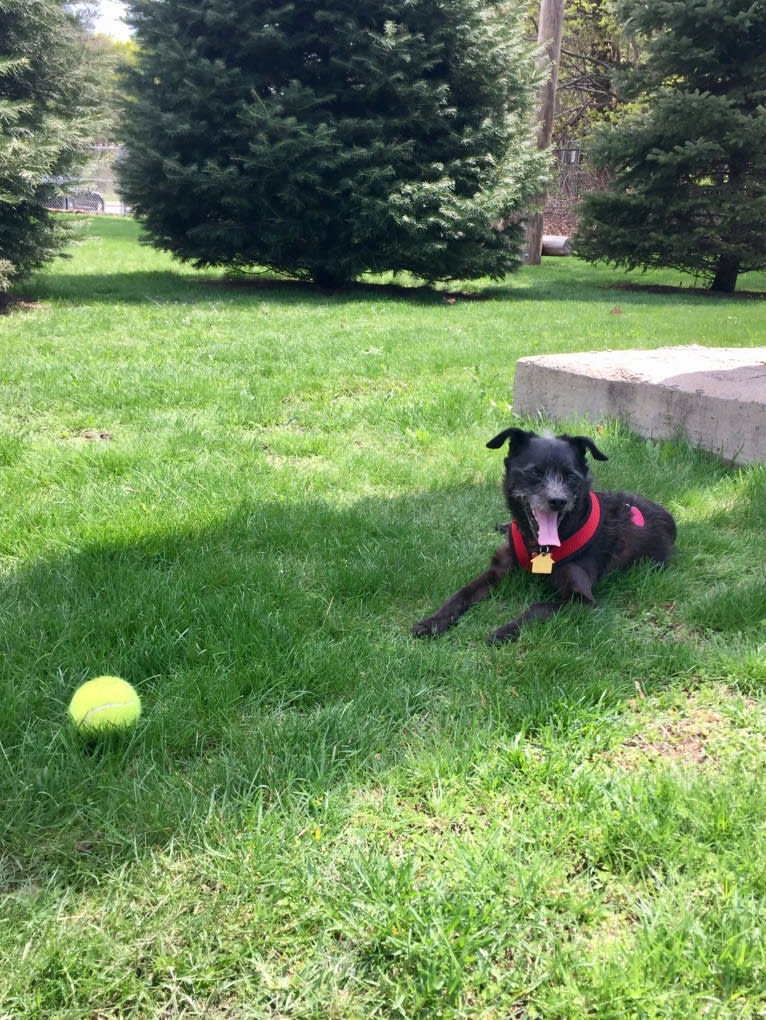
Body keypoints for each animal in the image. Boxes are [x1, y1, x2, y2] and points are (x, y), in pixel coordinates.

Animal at [414, 426, 677, 640]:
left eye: (571, 476)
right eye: (535, 472)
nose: (558, 501)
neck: (539, 546)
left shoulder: (580, 599)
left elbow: (537, 607)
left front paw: (504, 630)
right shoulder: (498, 569)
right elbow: (460, 593)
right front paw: (433, 621)